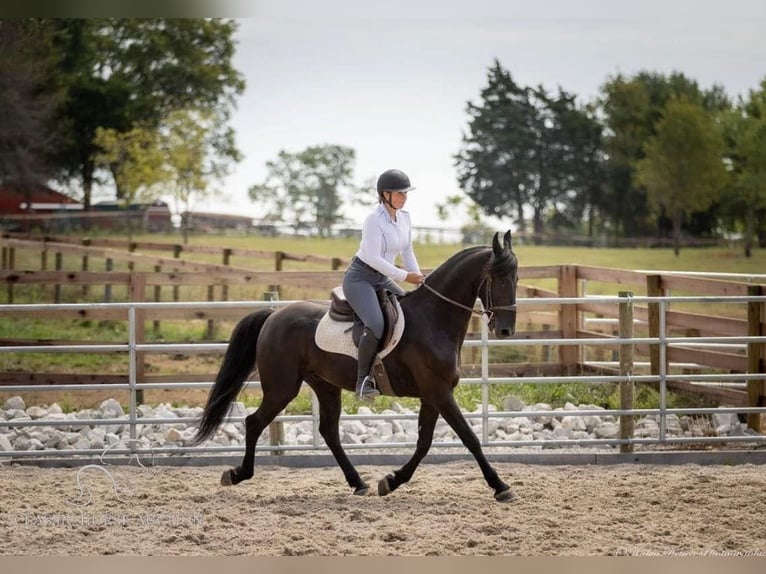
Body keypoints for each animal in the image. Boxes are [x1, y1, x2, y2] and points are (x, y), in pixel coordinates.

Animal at [196, 232, 520, 502]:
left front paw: (391, 481)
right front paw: (501, 487)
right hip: (281, 388)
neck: (432, 320)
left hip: (324, 385)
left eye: (516, 278)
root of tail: (274, 316)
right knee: (254, 422)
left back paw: (358, 483)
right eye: (498, 277)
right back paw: (237, 474)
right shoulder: (439, 393)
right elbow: (469, 438)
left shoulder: (432, 396)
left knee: (328, 432)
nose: (505, 330)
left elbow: (424, 443)